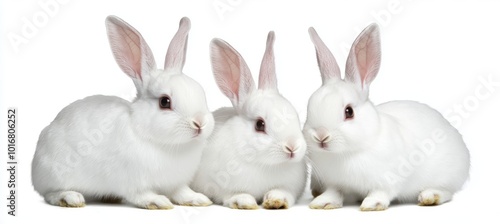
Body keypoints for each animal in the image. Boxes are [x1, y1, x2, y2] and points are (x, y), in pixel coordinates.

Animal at [31, 15, 215, 208]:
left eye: (201, 93)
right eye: (165, 102)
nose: (199, 123)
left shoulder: (175, 183)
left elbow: (181, 192)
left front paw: (199, 199)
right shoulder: (133, 182)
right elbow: (141, 195)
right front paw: (158, 202)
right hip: (55, 174)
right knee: (50, 193)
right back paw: (70, 198)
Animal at [191, 32, 308, 210]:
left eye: (294, 114)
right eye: (260, 124)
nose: (292, 147)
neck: (264, 163)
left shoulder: (289, 187)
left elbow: (283, 192)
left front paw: (276, 201)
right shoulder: (222, 186)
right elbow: (233, 195)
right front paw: (244, 202)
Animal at [302, 25, 470, 212]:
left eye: (349, 111)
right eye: (309, 109)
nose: (321, 136)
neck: (346, 153)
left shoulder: (388, 179)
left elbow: (381, 192)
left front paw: (371, 204)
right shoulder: (334, 183)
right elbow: (334, 192)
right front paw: (322, 202)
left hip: (447, 176)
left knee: (447, 192)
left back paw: (430, 196)